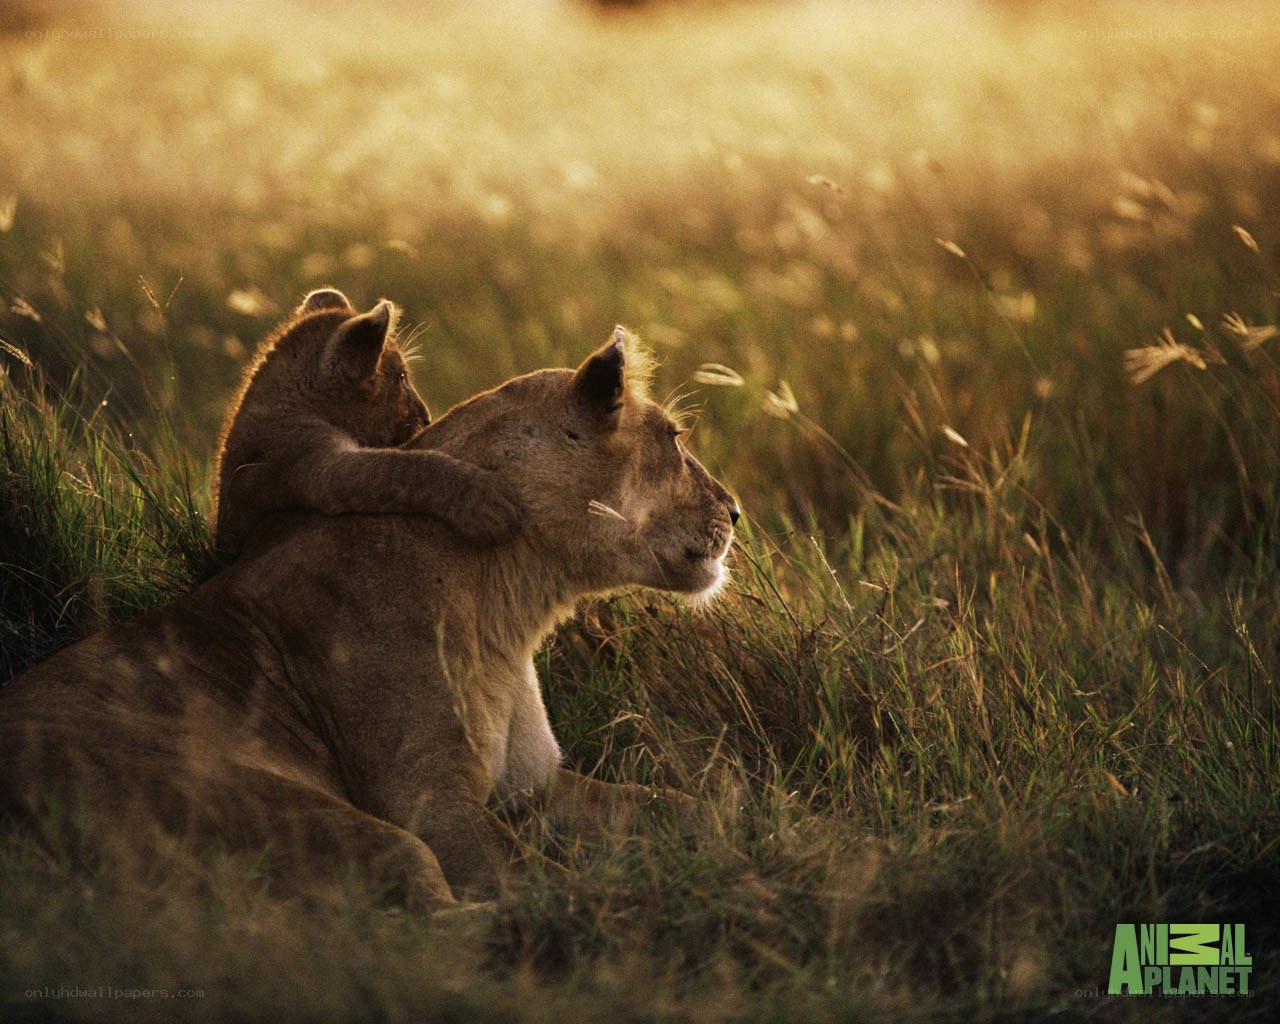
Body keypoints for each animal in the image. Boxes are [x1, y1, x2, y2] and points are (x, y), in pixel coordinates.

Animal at [0, 321, 739, 908]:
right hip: (312, 819)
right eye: (674, 437)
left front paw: (749, 824)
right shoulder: (433, 804)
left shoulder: (537, 786)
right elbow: (543, 880)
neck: (512, 601)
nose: (735, 511)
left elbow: (686, 807)